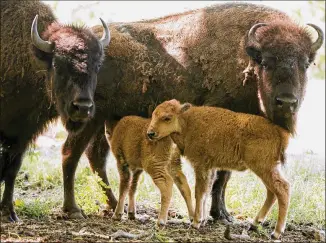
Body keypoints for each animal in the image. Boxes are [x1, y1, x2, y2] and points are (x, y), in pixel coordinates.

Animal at [0, 0, 111, 221]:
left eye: (97, 66)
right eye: (59, 65)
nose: (82, 107)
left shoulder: (23, 132)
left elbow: (11, 169)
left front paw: (9, 213)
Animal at [58, 2, 324, 222]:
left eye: (305, 64)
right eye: (266, 63)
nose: (286, 102)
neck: (246, 56)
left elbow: (224, 174)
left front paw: (223, 215)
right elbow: (220, 174)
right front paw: (220, 215)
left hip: (107, 119)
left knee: (96, 157)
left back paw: (115, 207)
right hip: (88, 116)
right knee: (71, 154)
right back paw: (74, 210)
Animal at [148, 99, 290, 239]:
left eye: (167, 118)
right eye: (153, 115)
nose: (150, 133)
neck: (187, 121)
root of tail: (278, 131)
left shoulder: (201, 166)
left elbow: (199, 192)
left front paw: (196, 222)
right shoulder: (210, 168)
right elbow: (206, 192)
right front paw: (203, 220)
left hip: (263, 167)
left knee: (282, 189)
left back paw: (276, 232)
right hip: (265, 169)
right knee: (272, 192)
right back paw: (255, 224)